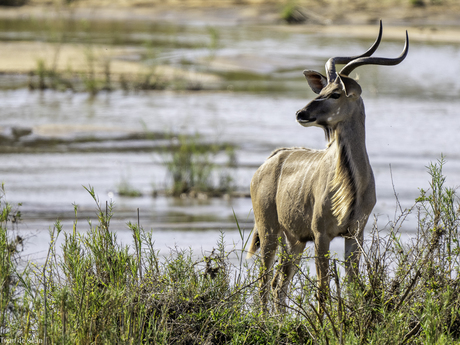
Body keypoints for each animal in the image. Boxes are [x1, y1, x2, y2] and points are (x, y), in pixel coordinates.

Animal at [246, 22, 408, 312]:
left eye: (335, 94)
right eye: (320, 92)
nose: (300, 113)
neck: (352, 187)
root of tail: (268, 163)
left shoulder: (354, 235)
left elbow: (353, 286)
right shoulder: (321, 234)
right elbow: (322, 291)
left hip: (294, 240)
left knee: (277, 284)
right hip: (269, 231)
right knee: (265, 283)